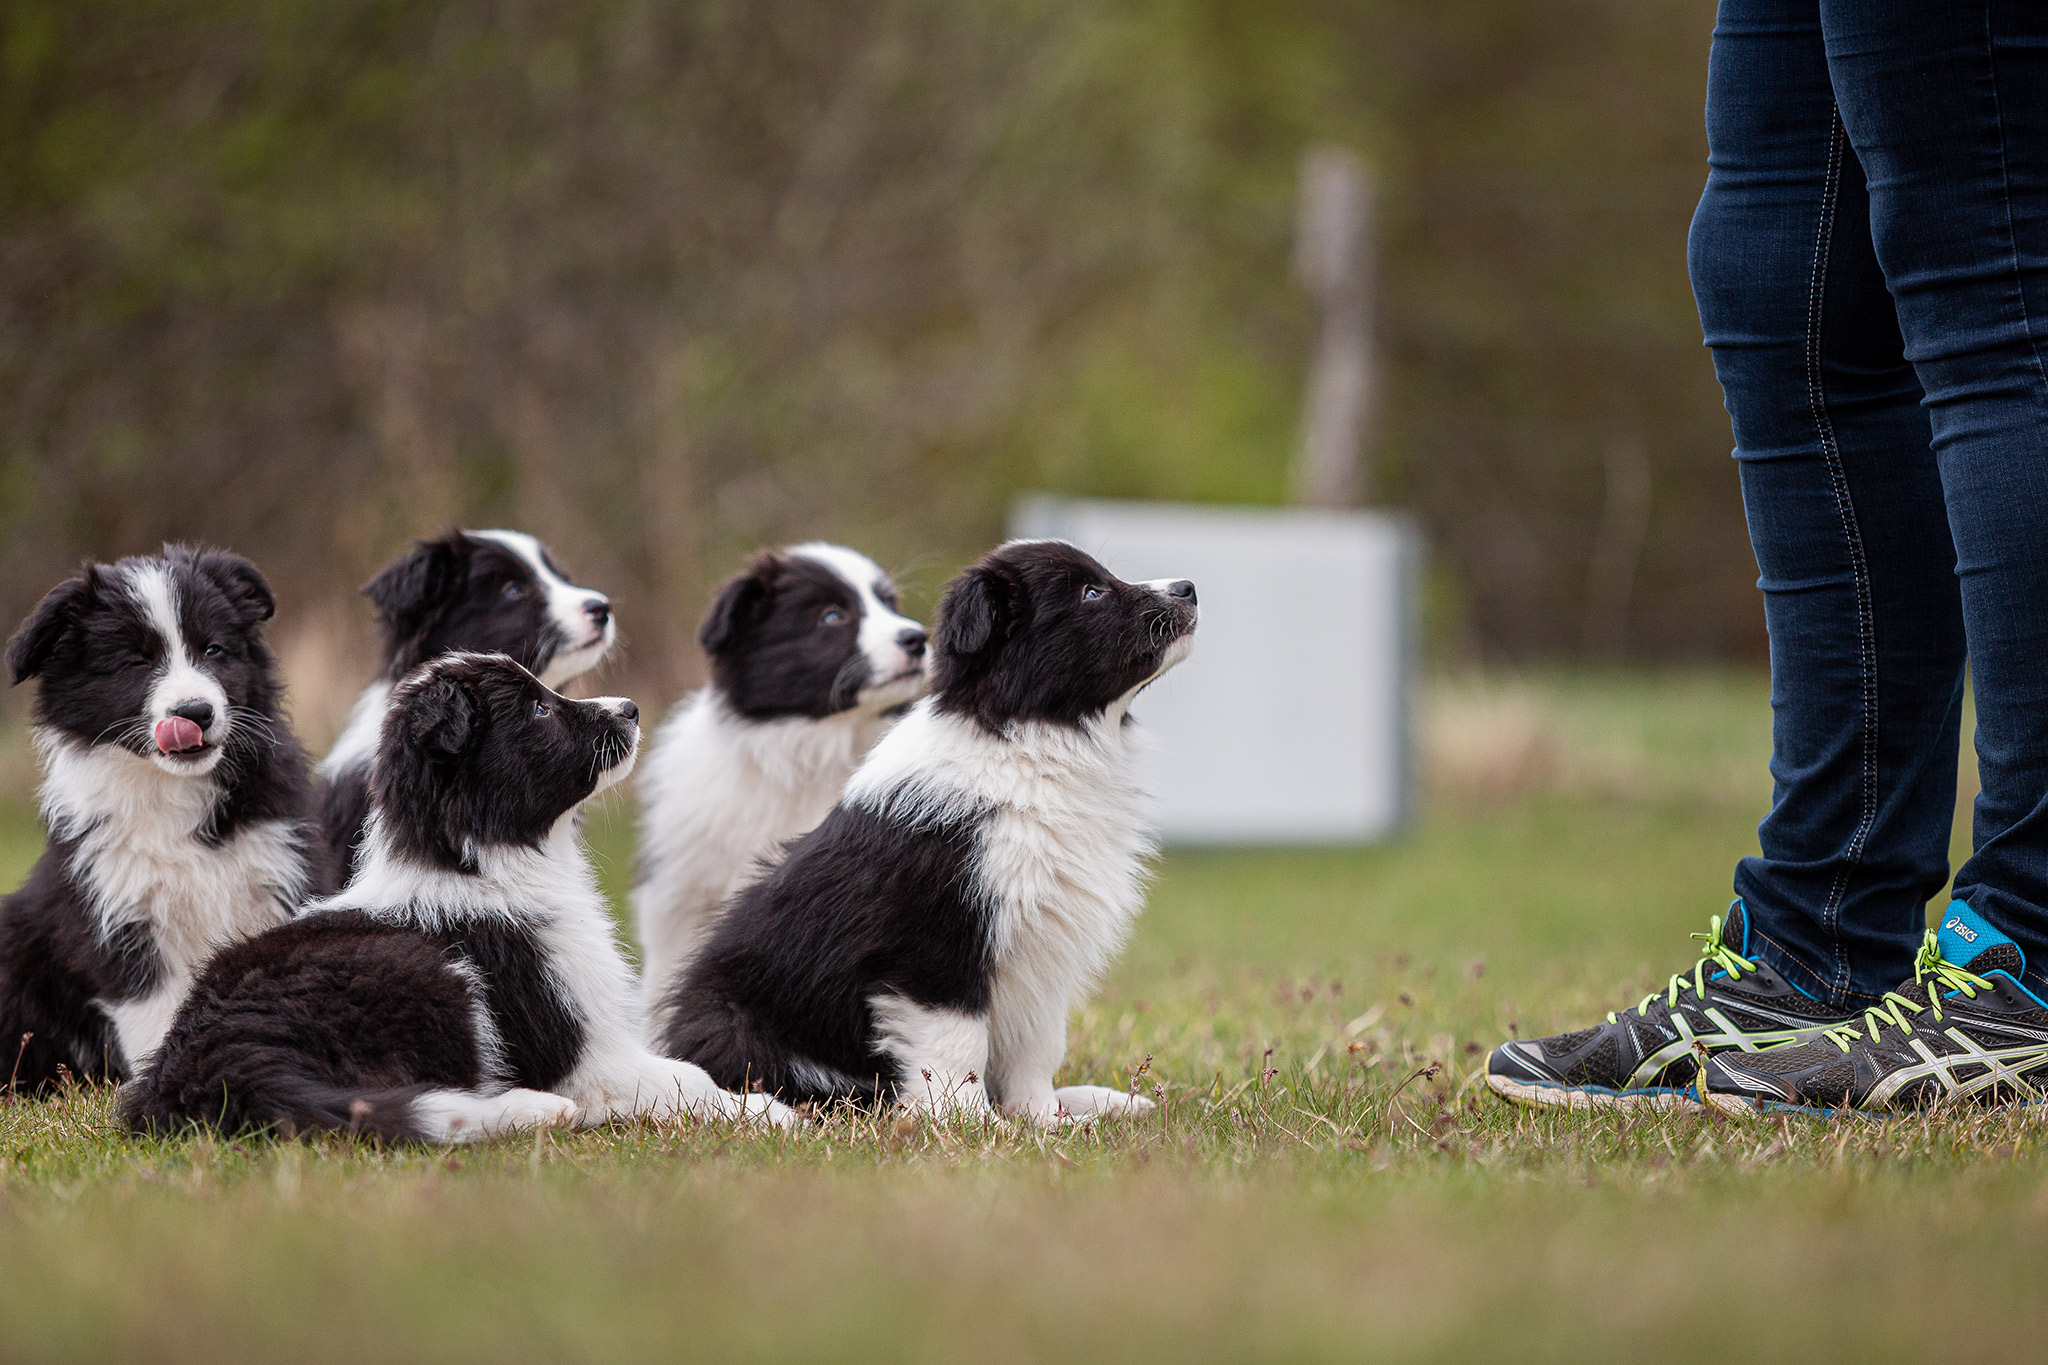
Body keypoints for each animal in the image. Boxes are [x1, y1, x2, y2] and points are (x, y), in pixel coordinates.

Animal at [0, 548, 315, 1096]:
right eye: (135, 662)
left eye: (212, 649)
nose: (195, 711)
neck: (172, 790)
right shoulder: (118, 914)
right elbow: (154, 1012)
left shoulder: (274, 875)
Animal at [119, 654, 790, 1146]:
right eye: (539, 708)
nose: (629, 708)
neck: (475, 861)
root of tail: (204, 1064)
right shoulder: (578, 1049)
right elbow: (685, 1079)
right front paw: (767, 1113)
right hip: (433, 978)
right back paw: (536, 1111)